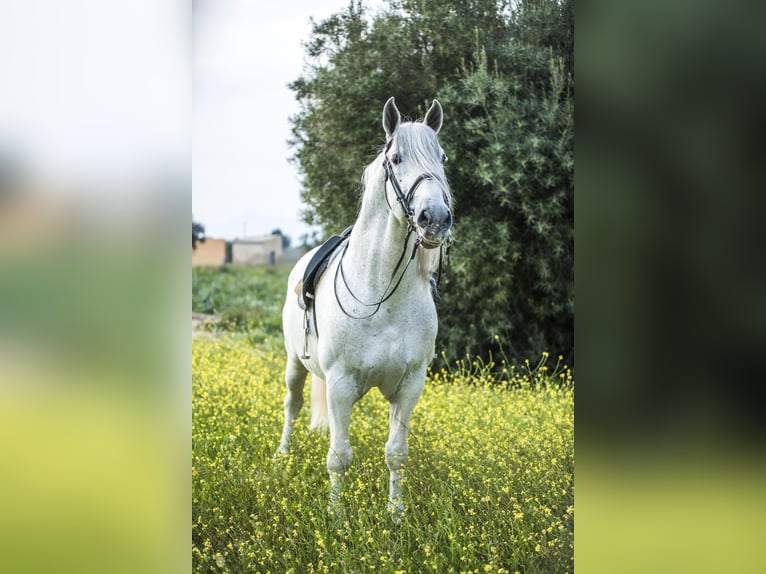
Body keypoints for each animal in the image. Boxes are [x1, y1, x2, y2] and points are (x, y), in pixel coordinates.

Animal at [280, 97, 452, 516]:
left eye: (441, 157)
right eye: (396, 158)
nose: (436, 220)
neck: (380, 297)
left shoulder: (410, 385)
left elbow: (396, 454)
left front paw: (396, 514)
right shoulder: (341, 384)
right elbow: (339, 456)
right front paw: (337, 517)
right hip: (294, 363)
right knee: (292, 405)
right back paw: (282, 456)